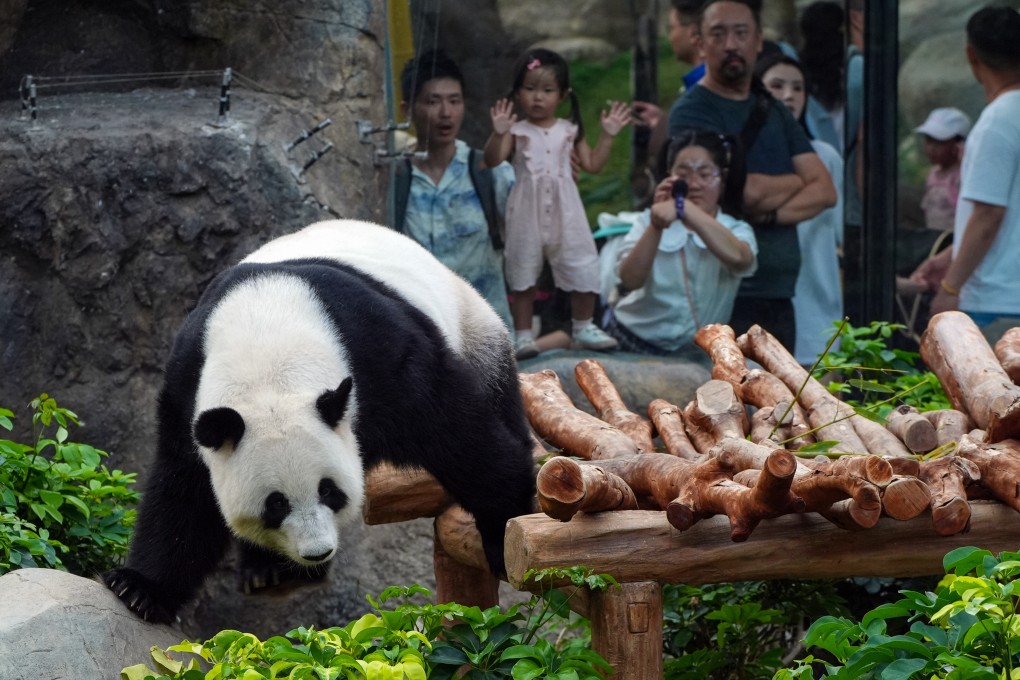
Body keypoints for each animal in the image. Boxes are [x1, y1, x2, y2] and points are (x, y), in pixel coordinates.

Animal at [103, 219, 537, 624]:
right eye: (274, 504)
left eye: (329, 491)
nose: (317, 552)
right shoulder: (187, 385)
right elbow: (183, 493)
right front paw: (138, 590)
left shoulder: (383, 358)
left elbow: (461, 438)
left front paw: (503, 533)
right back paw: (267, 571)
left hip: (473, 328)